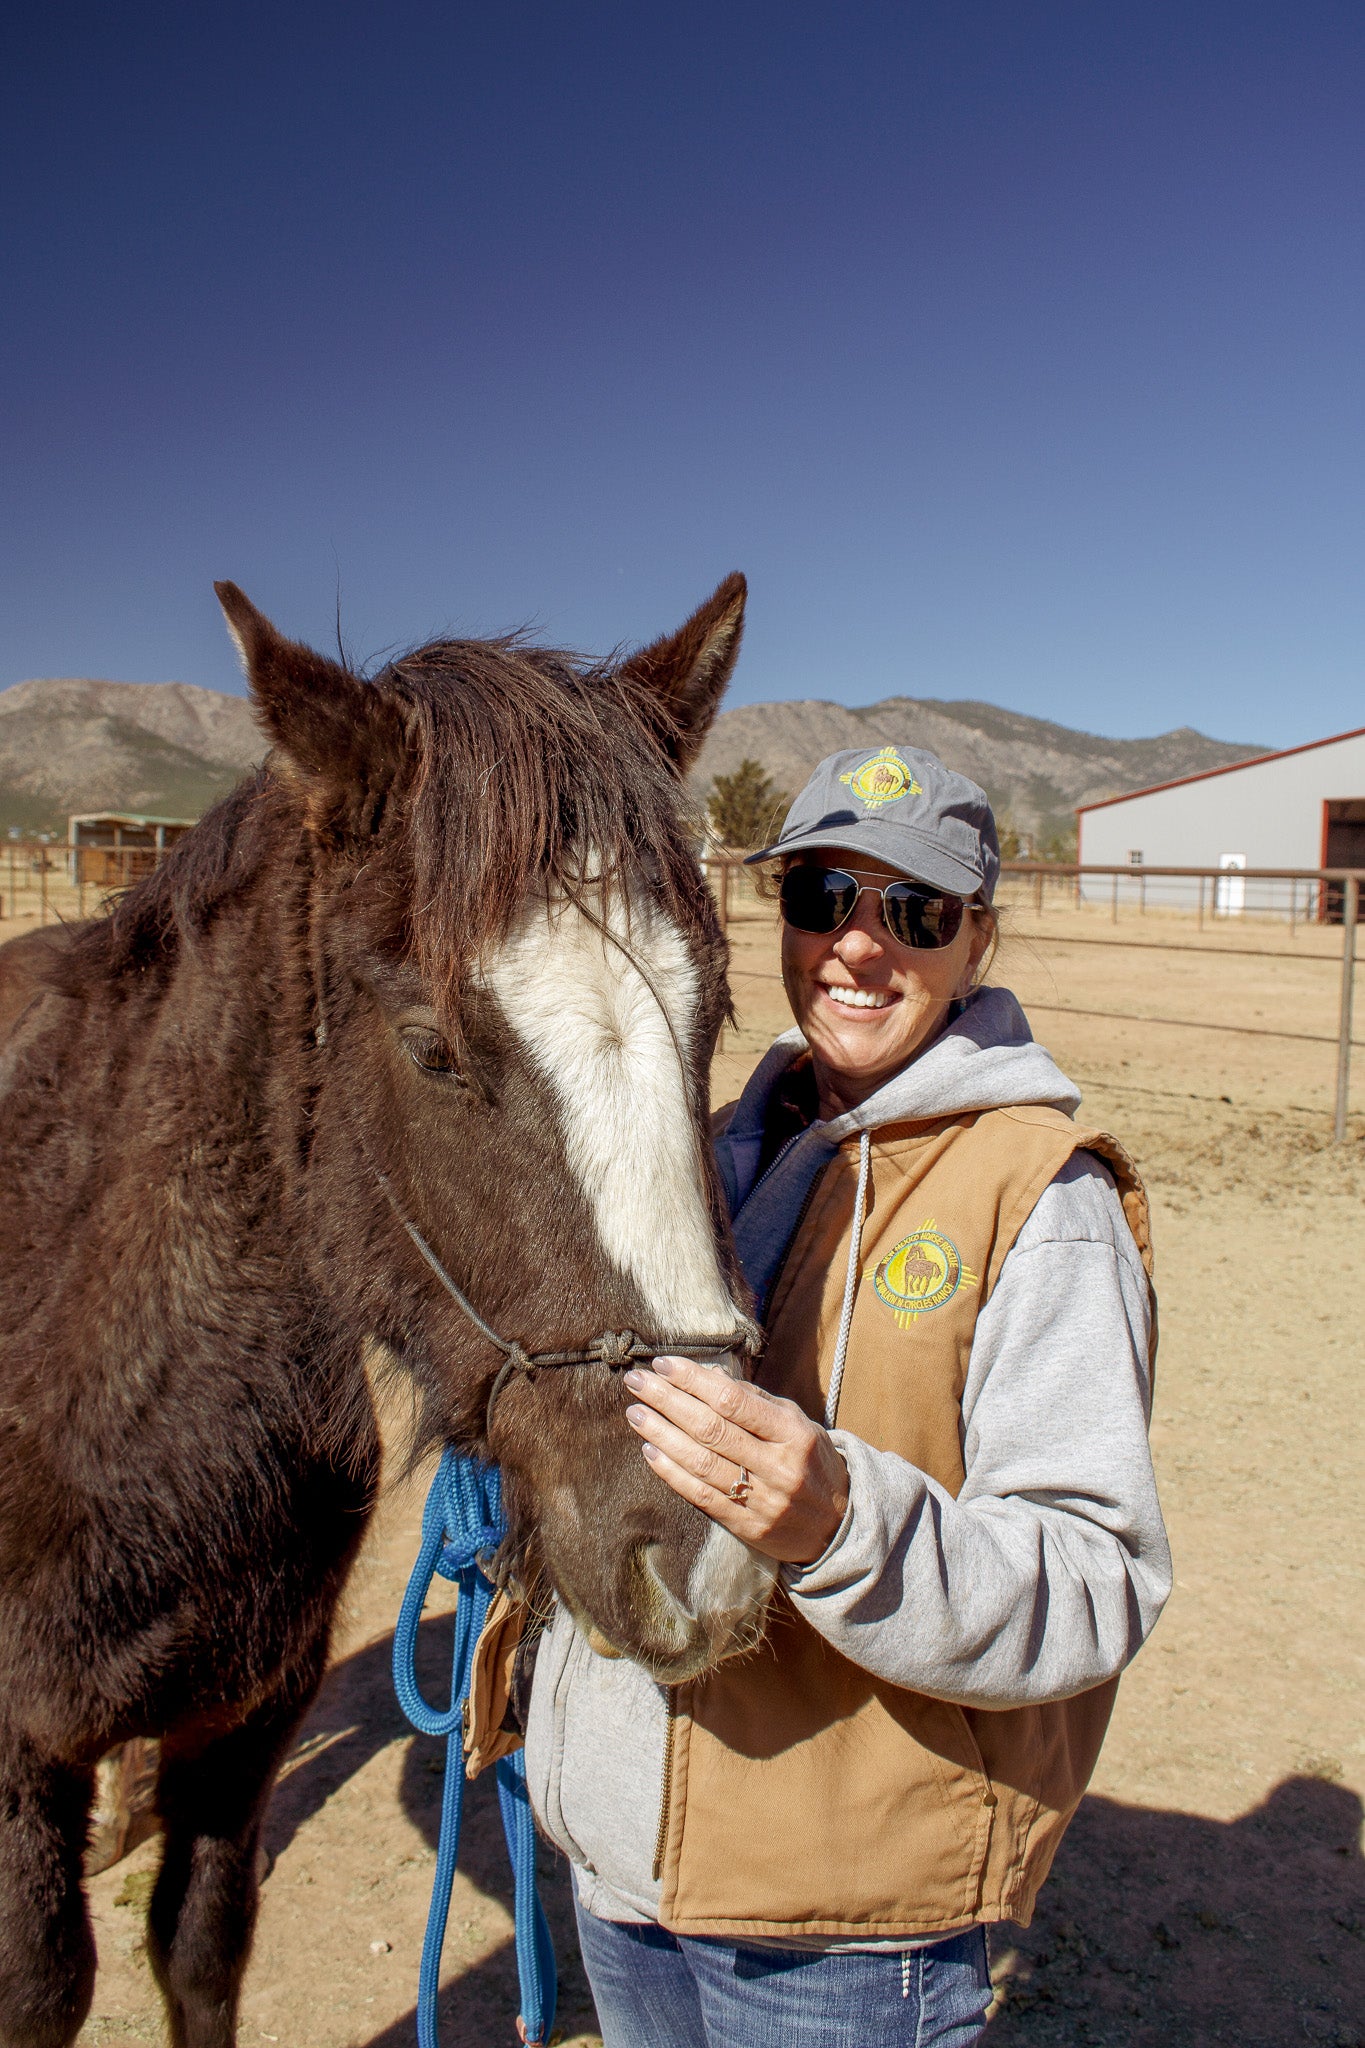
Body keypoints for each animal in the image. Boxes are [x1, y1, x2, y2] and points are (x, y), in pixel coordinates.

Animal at [0, 575, 775, 2048]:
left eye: (715, 1019)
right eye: (431, 1049)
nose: (704, 1558)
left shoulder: (250, 1712)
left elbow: (201, 1945)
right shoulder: (15, 1759)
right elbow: (43, 1987)